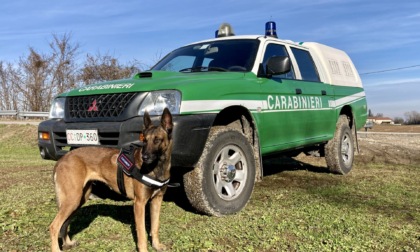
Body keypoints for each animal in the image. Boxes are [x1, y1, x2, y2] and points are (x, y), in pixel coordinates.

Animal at [49, 108, 174, 252]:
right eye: (144, 140)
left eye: (157, 140)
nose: (145, 157)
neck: (158, 167)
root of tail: (61, 160)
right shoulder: (139, 204)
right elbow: (142, 234)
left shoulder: (157, 201)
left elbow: (155, 227)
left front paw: (157, 245)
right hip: (72, 199)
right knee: (54, 226)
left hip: (78, 200)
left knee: (64, 224)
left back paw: (68, 243)